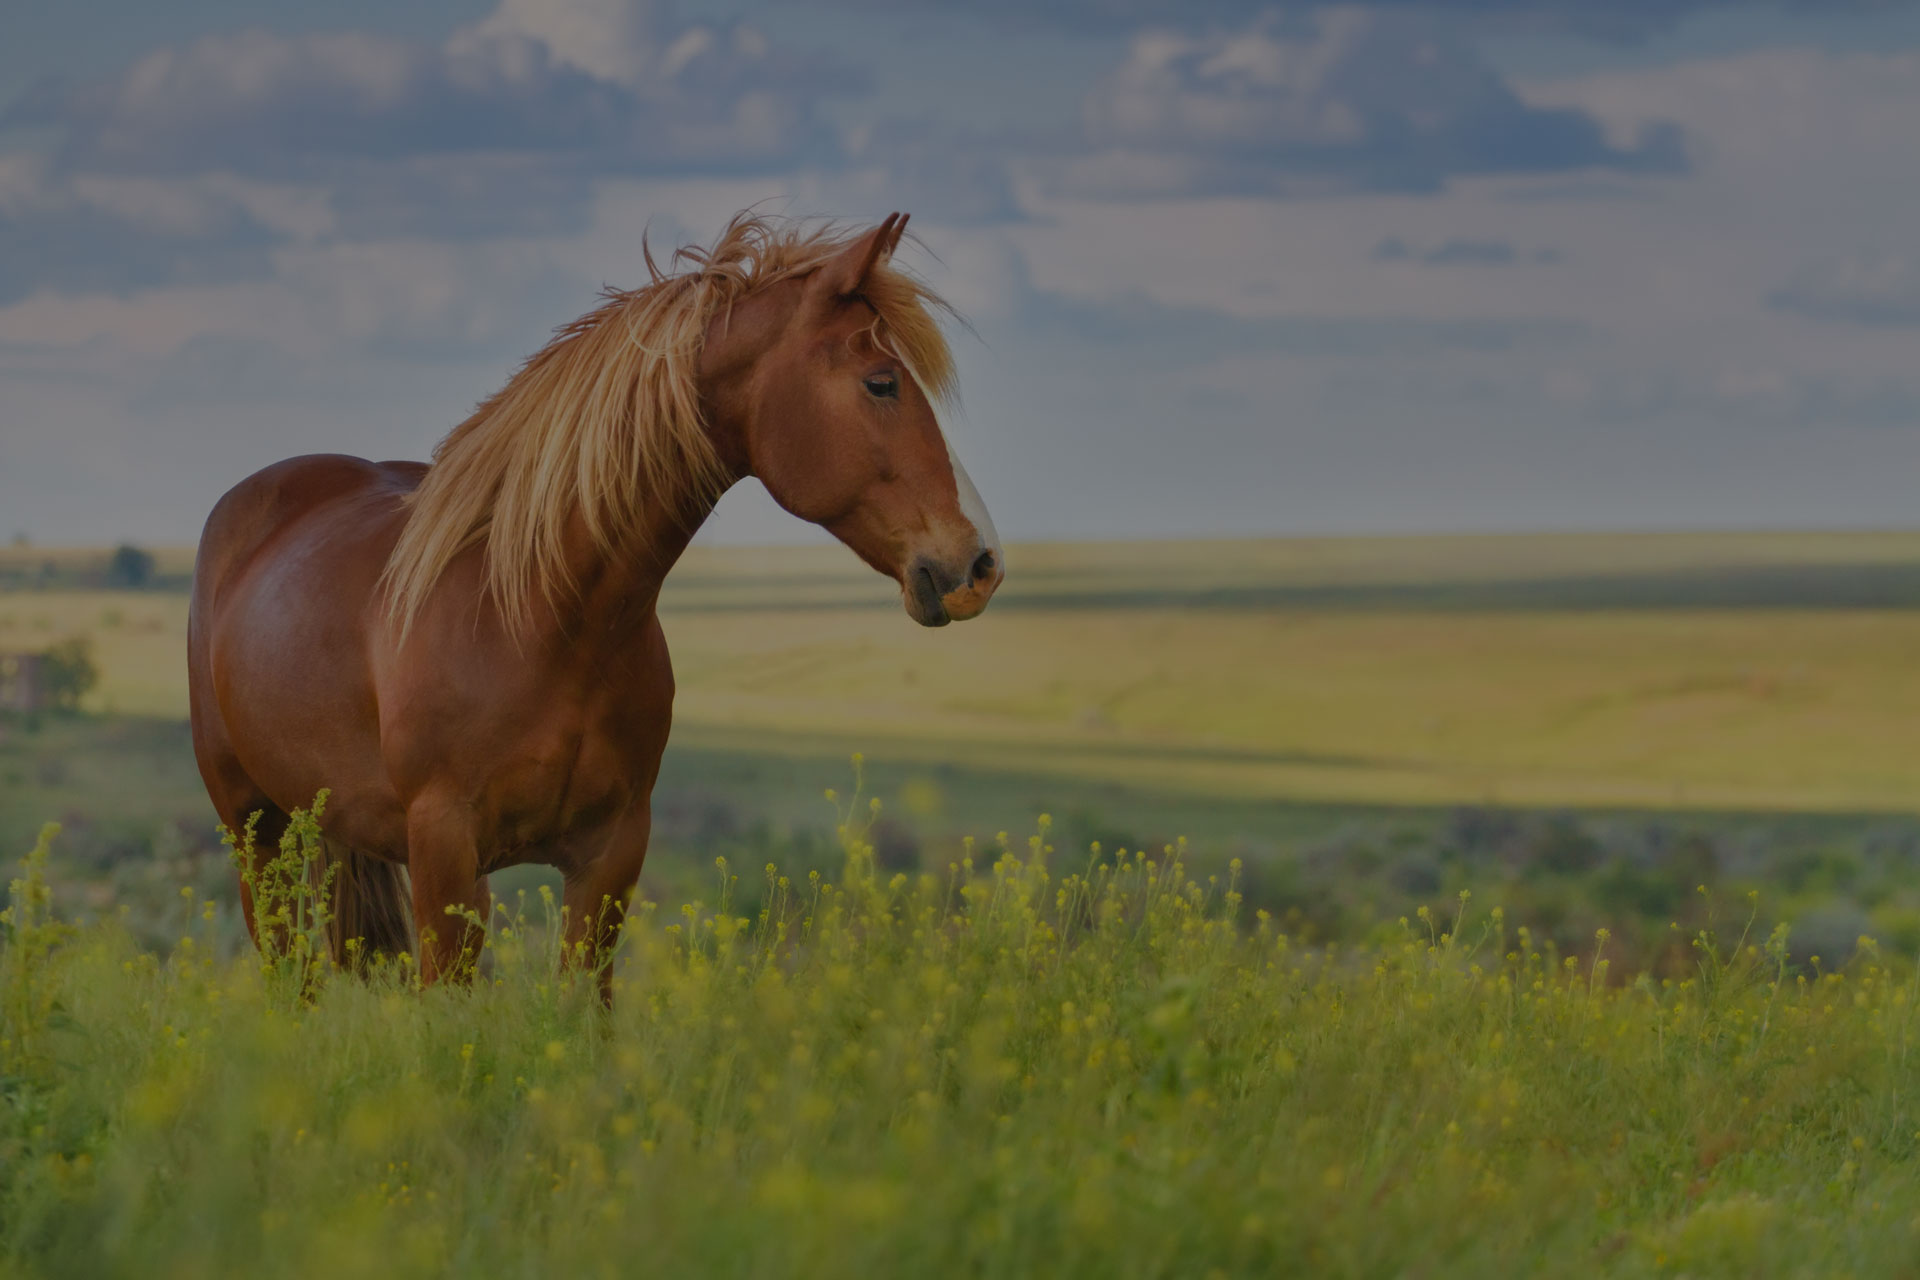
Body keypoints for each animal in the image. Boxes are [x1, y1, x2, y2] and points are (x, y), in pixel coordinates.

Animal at [189, 213, 1013, 997]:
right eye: (881, 382)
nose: (980, 564)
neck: (541, 621)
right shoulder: (445, 857)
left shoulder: (609, 856)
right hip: (255, 834)